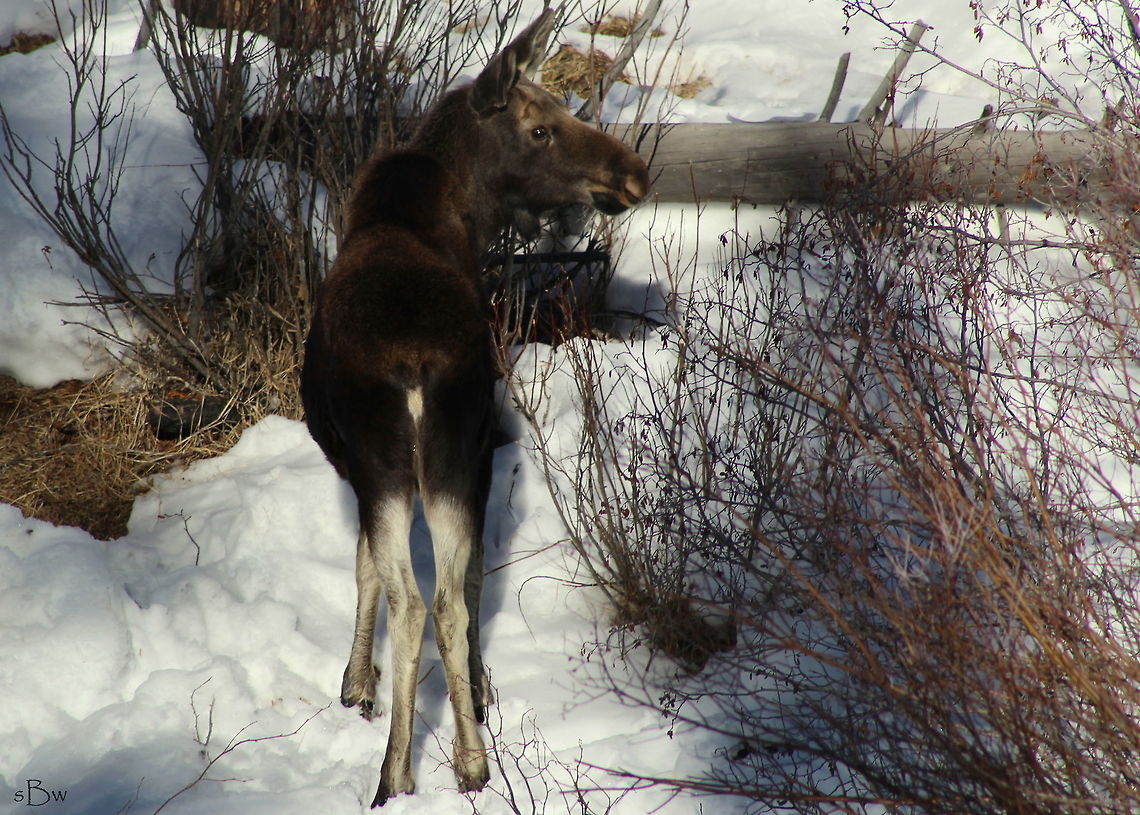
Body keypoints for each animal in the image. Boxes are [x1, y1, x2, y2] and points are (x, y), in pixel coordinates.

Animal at [299, 7, 650, 808]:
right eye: (542, 127)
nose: (634, 171)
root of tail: (413, 367)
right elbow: (461, 577)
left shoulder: (367, 466)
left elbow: (373, 571)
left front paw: (357, 686)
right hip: (451, 453)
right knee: (446, 599)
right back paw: (466, 760)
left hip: (401, 462)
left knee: (414, 601)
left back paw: (399, 773)